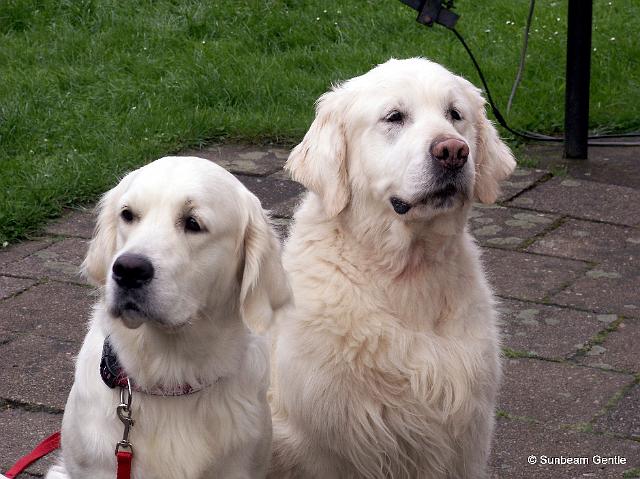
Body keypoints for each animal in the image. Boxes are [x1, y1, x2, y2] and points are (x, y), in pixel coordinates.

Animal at [268, 58, 516, 478]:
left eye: (455, 114)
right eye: (394, 117)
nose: (453, 151)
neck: (406, 275)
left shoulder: (464, 437)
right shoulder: (325, 443)